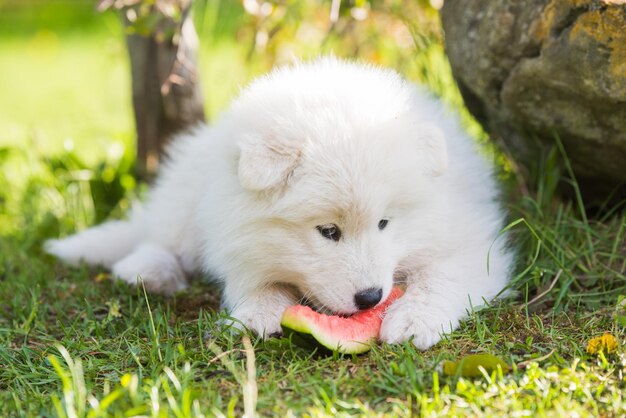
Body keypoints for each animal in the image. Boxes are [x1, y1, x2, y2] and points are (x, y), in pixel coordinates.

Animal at [46, 56, 510, 350]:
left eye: (385, 223)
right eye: (328, 232)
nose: (370, 298)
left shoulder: (473, 242)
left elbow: (442, 277)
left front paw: (414, 319)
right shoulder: (235, 232)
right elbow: (256, 280)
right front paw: (256, 312)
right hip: (188, 195)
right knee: (159, 235)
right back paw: (148, 271)